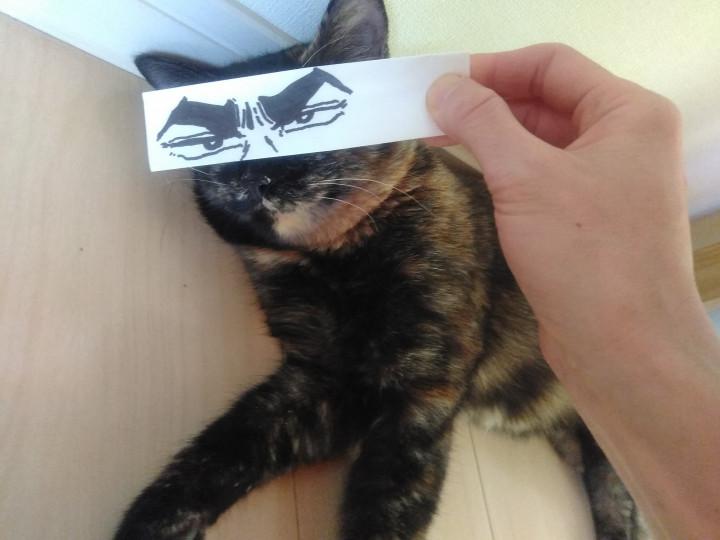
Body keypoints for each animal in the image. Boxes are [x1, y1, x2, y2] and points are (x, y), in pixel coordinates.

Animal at [116, 1, 648, 539]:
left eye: (308, 121)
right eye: (217, 147)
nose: (259, 177)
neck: (333, 264)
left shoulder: (421, 392)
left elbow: (387, 506)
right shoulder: (320, 383)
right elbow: (220, 450)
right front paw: (152, 521)